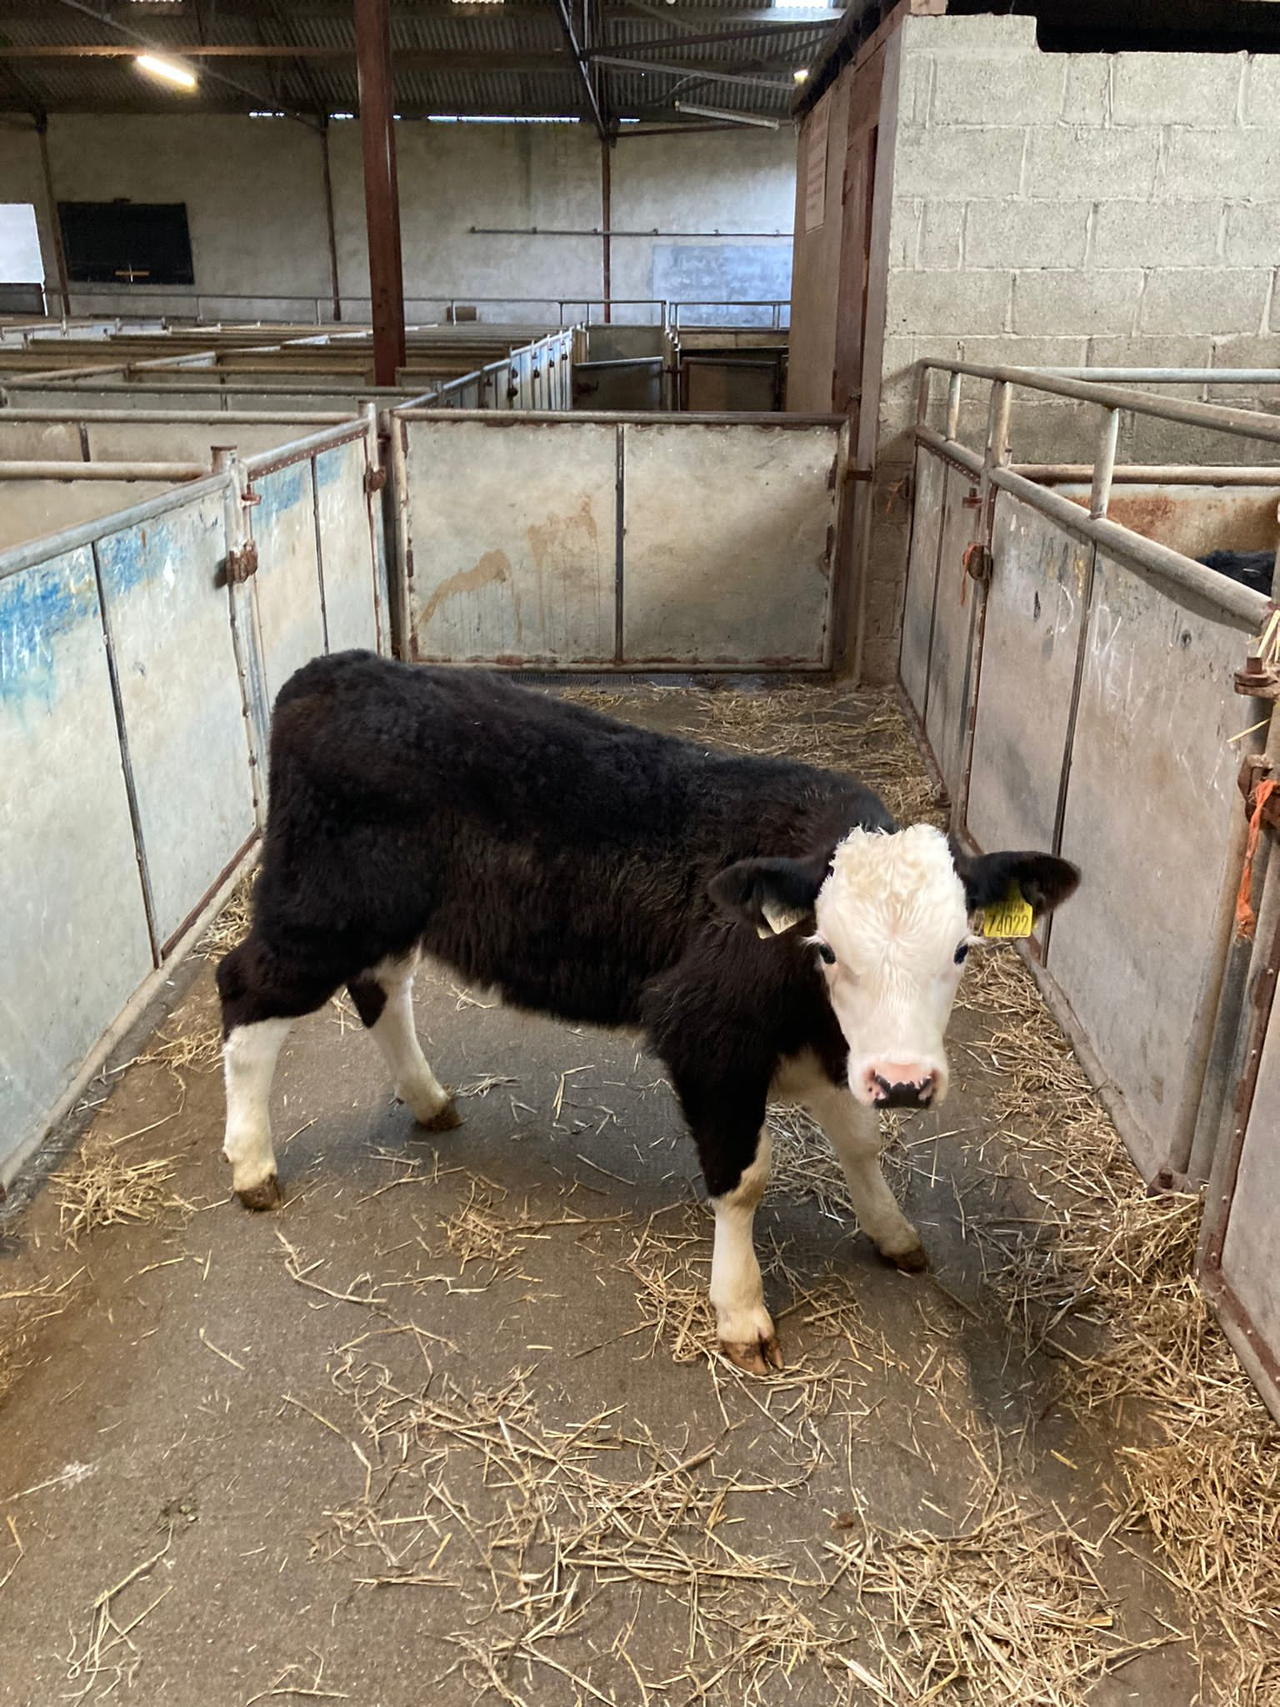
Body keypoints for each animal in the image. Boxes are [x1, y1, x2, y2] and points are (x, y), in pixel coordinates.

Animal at [217, 652, 1078, 1372]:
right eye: (828, 949)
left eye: (962, 949)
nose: (904, 1080)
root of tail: (336, 669)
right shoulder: (708, 1037)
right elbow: (744, 1178)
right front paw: (742, 1310)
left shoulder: (830, 1051)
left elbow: (862, 1141)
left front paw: (893, 1231)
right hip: (318, 908)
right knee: (245, 990)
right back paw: (253, 1163)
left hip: (383, 916)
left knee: (380, 990)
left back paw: (428, 1100)